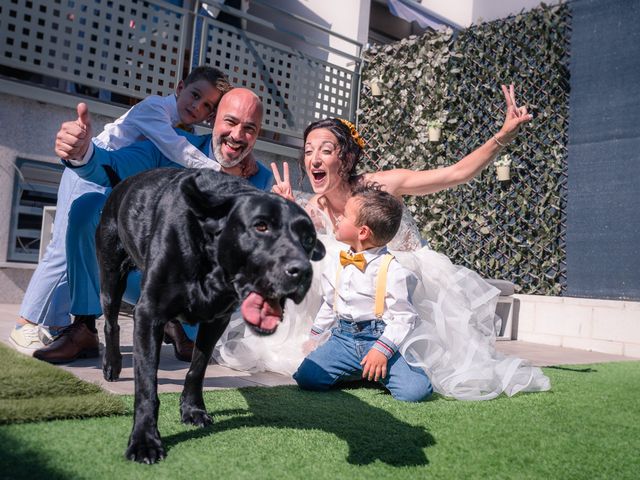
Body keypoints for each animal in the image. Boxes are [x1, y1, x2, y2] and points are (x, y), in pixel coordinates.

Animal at [96, 167, 324, 464]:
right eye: (261, 226)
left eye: (308, 239)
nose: (302, 272)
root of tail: (122, 184)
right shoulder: (148, 314)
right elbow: (146, 384)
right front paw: (144, 440)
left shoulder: (217, 320)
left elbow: (198, 368)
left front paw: (192, 410)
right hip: (111, 277)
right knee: (110, 323)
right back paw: (112, 365)